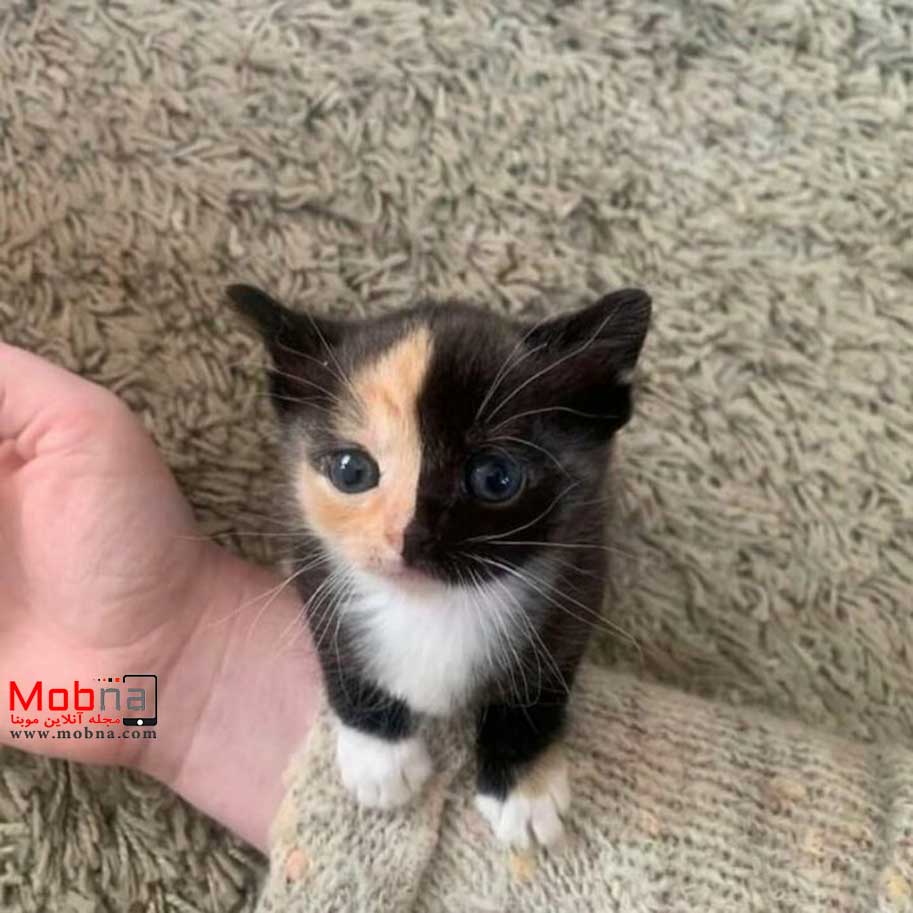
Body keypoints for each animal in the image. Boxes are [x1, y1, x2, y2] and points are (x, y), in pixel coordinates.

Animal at [228, 283, 651, 848]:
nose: (408, 536)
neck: (434, 604)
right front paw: (380, 756)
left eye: (496, 478)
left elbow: (538, 683)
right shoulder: (311, 560)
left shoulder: (581, 571)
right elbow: (339, 652)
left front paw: (522, 785)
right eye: (351, 471)